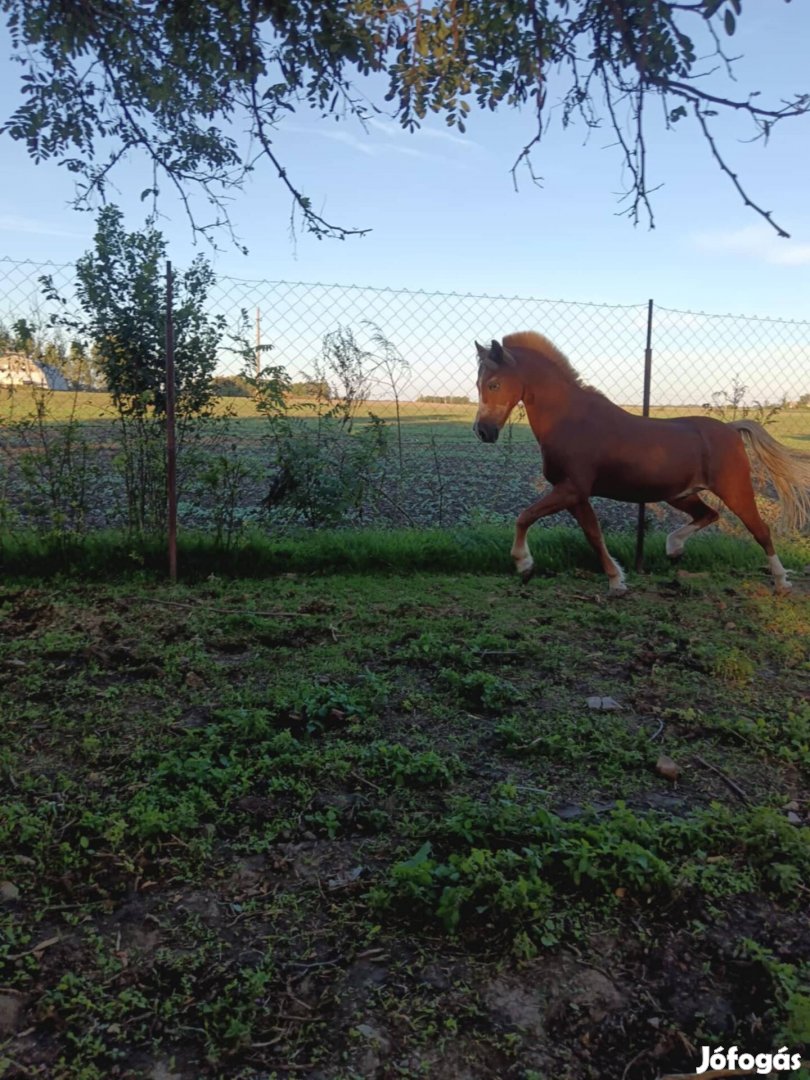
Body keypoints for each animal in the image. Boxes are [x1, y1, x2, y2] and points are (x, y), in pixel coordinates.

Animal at [475, 332, 810, 596]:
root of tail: (730, 429)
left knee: (761, 530)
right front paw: (616, 582)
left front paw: (524, 565)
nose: (483, 432)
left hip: (735, 490)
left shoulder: (571, 489)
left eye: (494, 384)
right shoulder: (575, 495)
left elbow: (524, 517)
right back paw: (673, 547)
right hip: (680, 495)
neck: (570, 419)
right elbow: (593, 535)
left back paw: (781, 582)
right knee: (708, 514)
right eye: (478, 383)